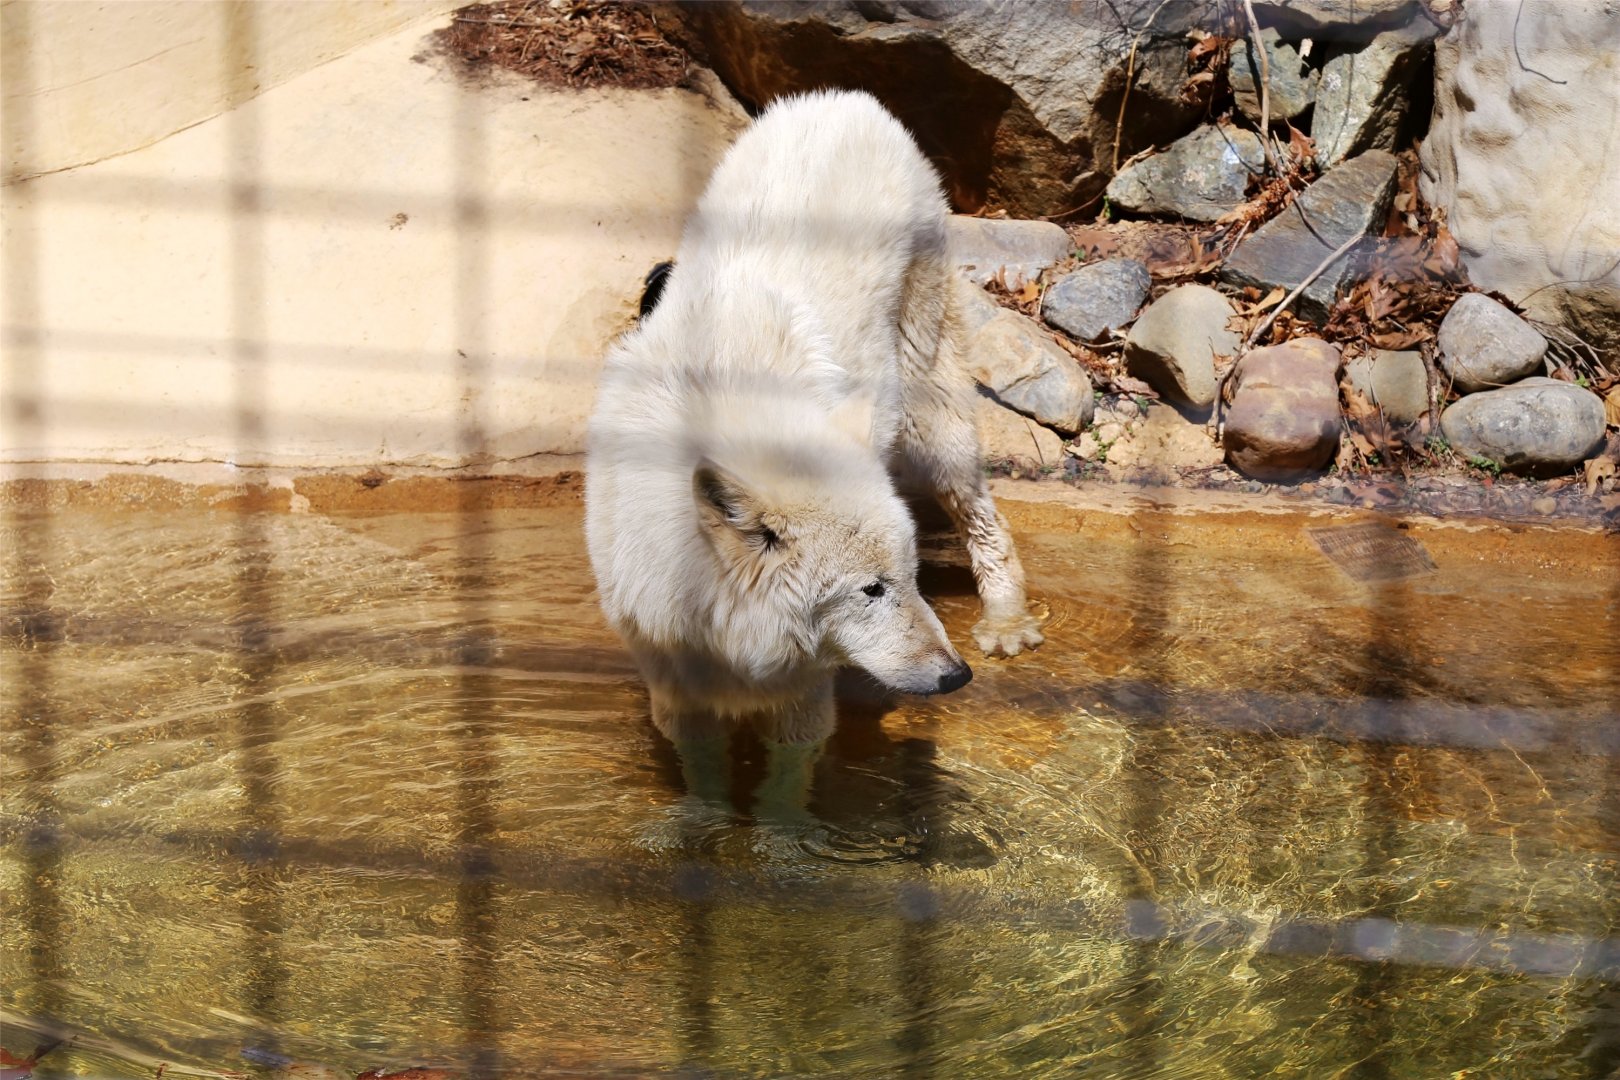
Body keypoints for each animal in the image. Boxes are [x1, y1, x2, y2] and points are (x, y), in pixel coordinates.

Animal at [585, 89, 1043, 763]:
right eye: (871, 590)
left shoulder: (805, 695)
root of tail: (848, 100)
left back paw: (1007, 624)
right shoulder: (671, 679)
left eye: (907, 577)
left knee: (986, 516)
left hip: (929, 419)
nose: (956, 675)